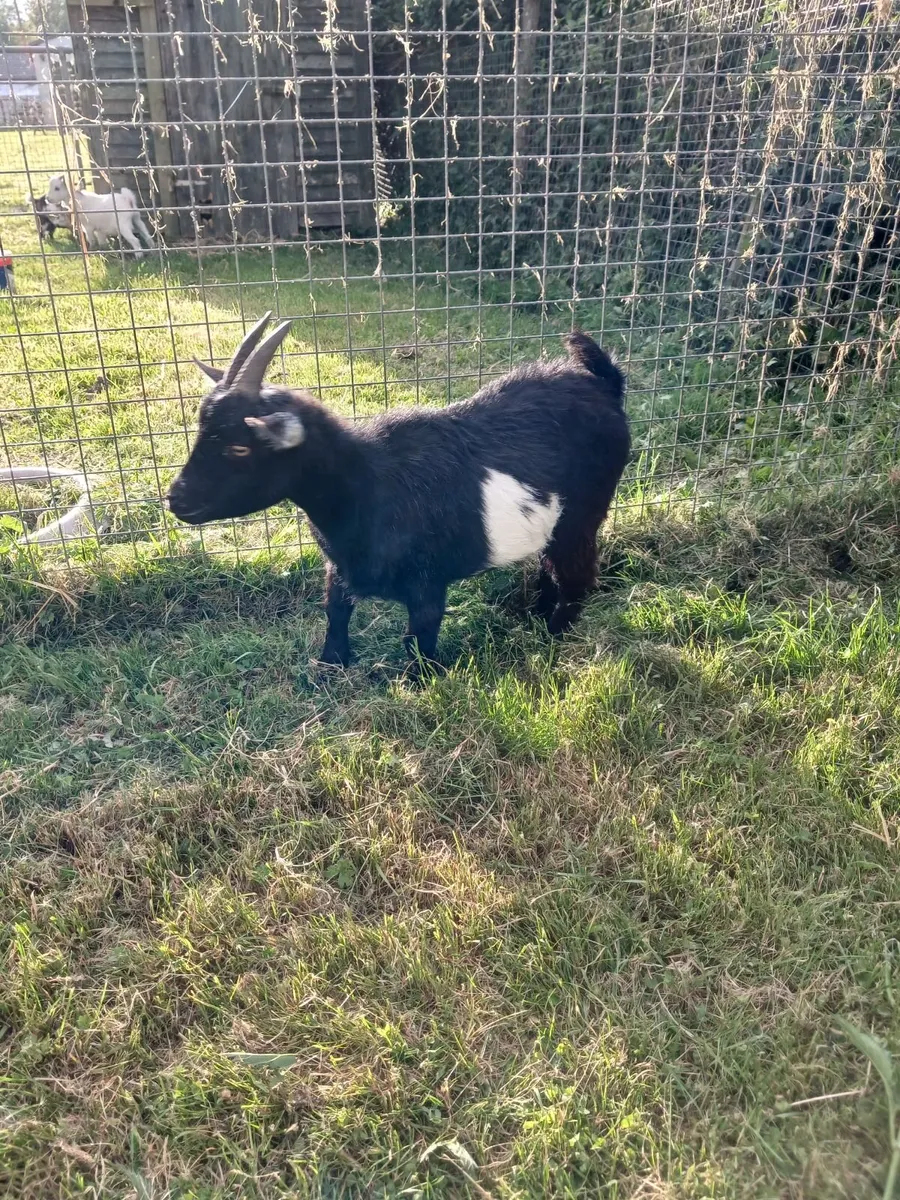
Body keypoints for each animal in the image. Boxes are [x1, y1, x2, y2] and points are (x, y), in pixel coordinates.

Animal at [167, 315, 630, 671]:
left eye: (239, 447)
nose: (176, 499)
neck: (369, 486)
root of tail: (606, 385)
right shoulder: (340, 567)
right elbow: (335, 612)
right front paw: (328, 668)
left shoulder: (428, 582)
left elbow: (418, 637)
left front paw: (420, 684)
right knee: (551, 565)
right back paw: (535, 615)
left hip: (583, 515)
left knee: (577, 574)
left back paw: (553, 635)